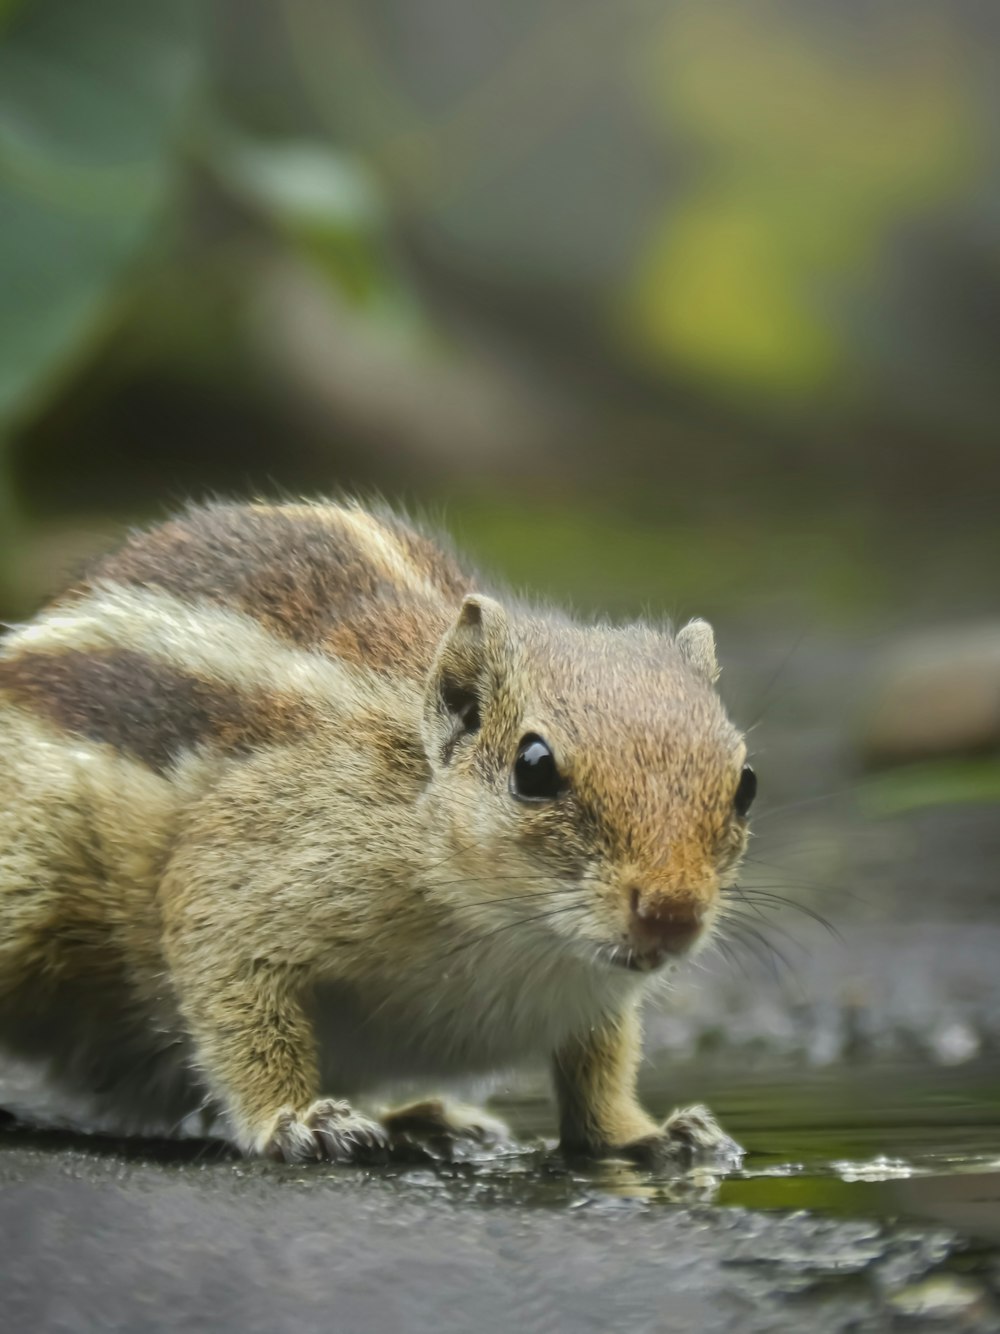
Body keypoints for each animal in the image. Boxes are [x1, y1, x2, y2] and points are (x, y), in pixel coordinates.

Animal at [0, 501, 757, 1168]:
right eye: (534, 768)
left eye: (746, 783)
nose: (673, 913)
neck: (513, 933)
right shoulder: (242, 873)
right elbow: (241, 1009)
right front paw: (294, 1119)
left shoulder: (595, 998)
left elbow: (599, 1071)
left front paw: (646, 1133)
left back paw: (423, 1119)